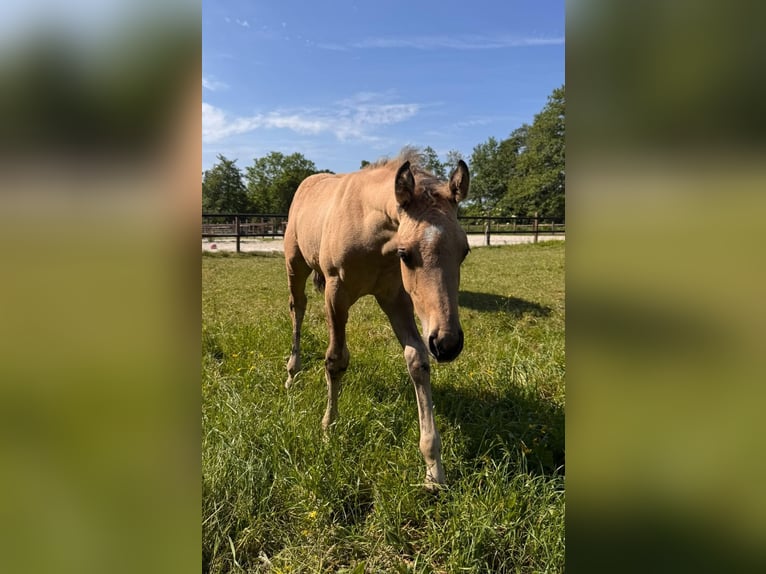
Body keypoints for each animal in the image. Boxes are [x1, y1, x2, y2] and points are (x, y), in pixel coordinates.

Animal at [283, 149, 470, 488]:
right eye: (406, 254)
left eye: (464, 251)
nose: (447, 344)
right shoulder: (336, 293)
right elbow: (335, 360)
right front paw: (328, 428)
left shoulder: (395, 297)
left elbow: (417, 359)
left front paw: (433, 469)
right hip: (295, 265)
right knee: (297, 309)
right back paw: (292, 373)